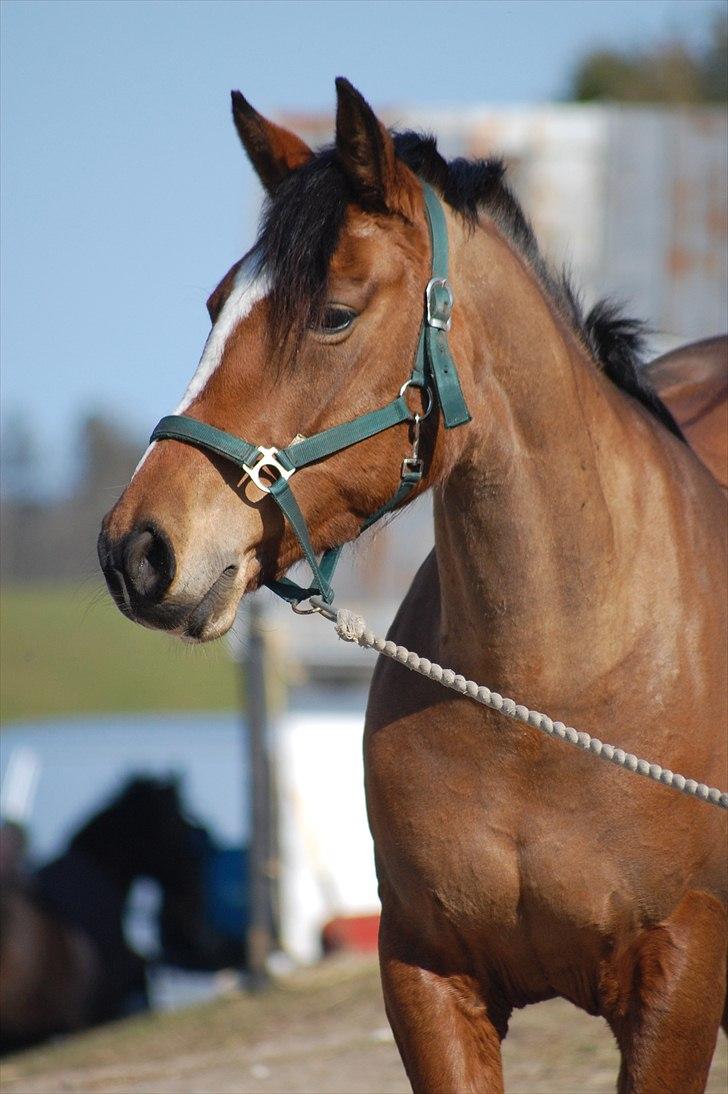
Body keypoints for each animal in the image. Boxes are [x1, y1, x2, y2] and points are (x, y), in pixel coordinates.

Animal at [97, 80, 726, 1089]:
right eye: (216, 303)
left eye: (334, 313)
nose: (137, 550)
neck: (547, 696)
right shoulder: (428, 981)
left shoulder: (680, 976)